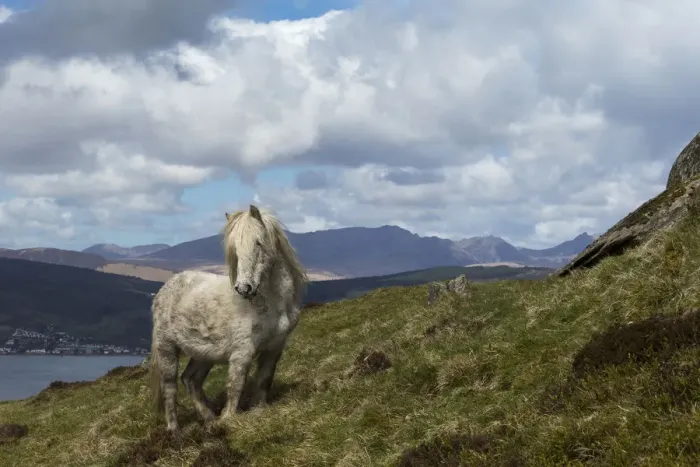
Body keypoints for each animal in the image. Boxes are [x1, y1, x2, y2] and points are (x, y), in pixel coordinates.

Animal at [147, 204, 308, 432]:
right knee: (169, 386)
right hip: (167, 348)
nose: (244, 288)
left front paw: (258, 411)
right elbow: (236, 384)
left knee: (190, 380)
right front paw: (229, 419)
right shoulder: (243, 351)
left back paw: (209, 419)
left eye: (258, 243)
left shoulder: (274, 348)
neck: (271, 304)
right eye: (235, 250)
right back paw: (174, 430)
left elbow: (264, 379)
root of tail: (163, 290)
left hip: (203, 354)